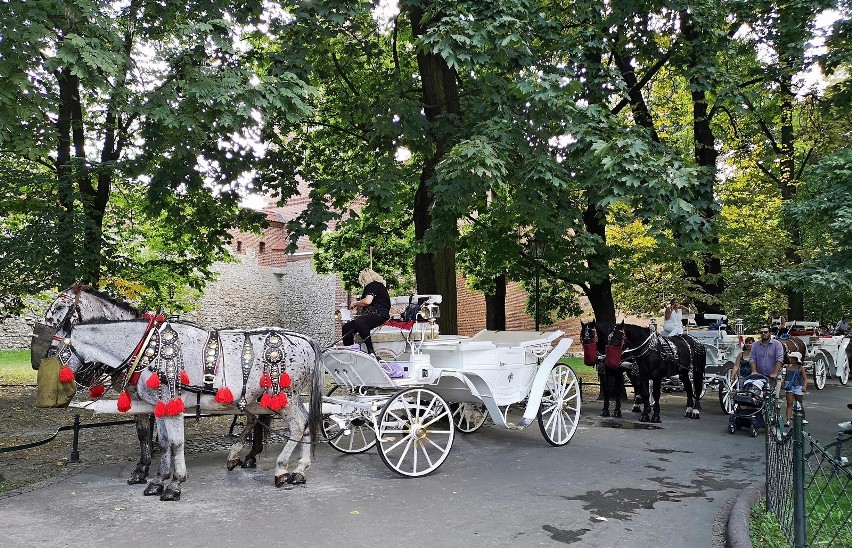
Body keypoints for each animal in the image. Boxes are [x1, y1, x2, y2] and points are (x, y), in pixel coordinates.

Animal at [61, 316, 324, 500]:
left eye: (56, 349)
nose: (82, 380)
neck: (150, 349)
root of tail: (305, 339)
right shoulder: (159, 407)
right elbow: (164, 442)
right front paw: (158, 481)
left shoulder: (171, 404)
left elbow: (176, 443)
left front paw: (174, 484)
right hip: (282, 398)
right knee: (306, 424)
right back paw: (299, 471)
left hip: (285, 395)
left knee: (298, 426)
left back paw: (281, 470)